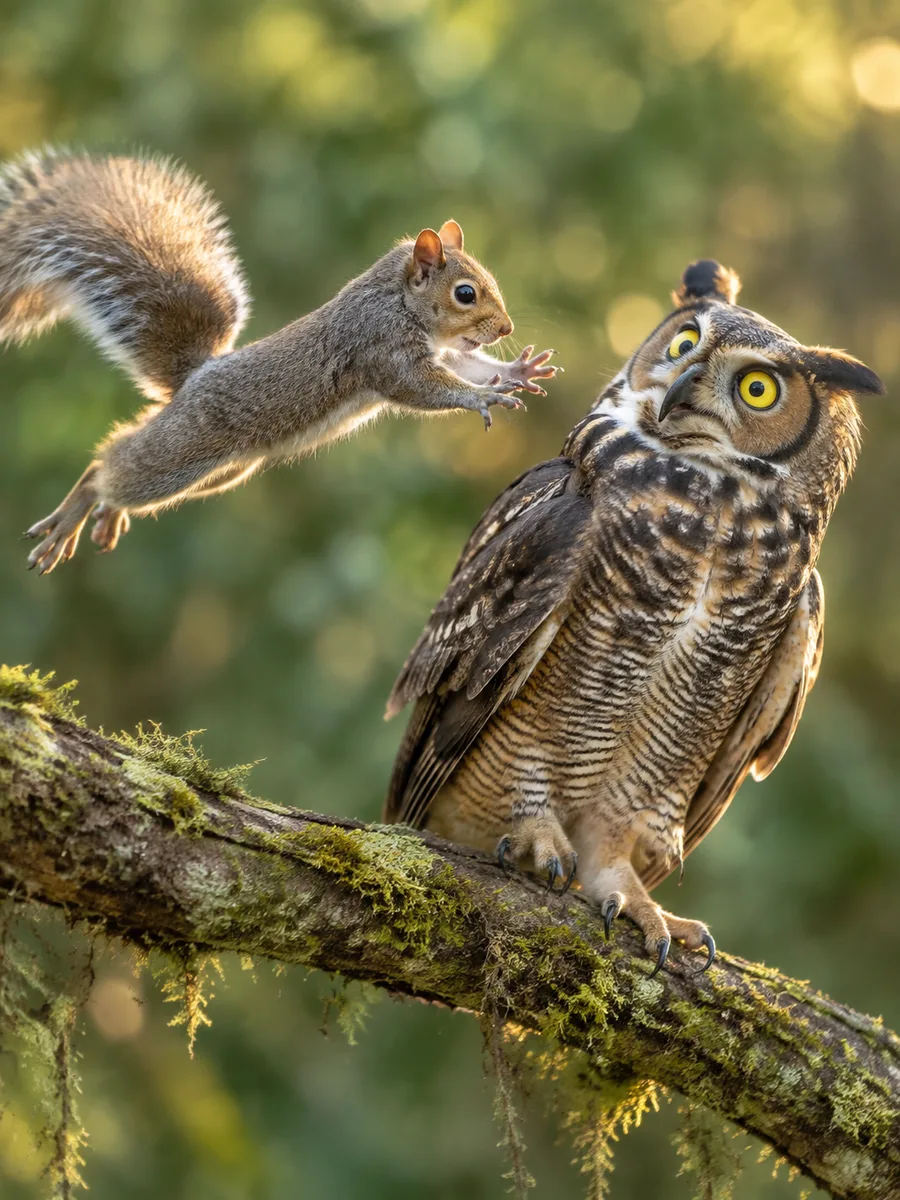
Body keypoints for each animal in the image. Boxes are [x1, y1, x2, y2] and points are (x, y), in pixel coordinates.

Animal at [0, 149, 558, 573]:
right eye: (465, 293)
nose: (506, 330)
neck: (398, 301)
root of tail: (193, 378)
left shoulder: (434, 351)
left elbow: (466, 366)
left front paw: (515, 372)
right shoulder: (381, 349)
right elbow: (424, 388)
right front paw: (483, 396)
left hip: (222, 472)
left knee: (123, 461)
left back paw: (104, 515)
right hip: (180, 454)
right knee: (107, 466)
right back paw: (71, 515)